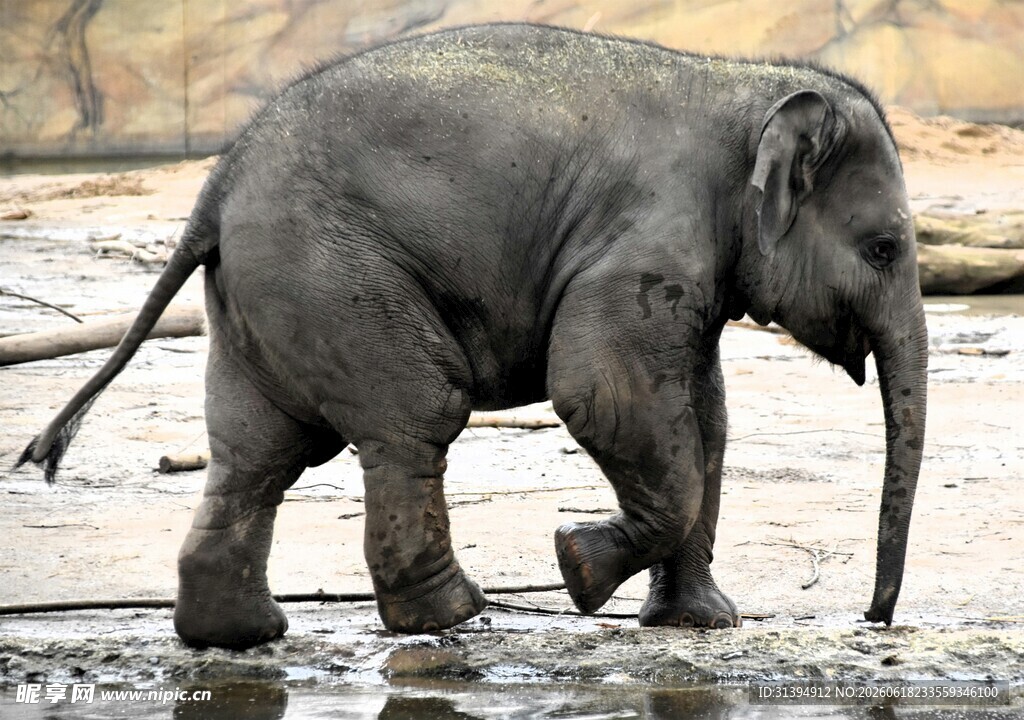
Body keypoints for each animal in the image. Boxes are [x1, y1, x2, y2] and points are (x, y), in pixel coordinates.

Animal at [18, 23, 927, 649]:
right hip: (334, 274)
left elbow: (706, 418)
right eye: (884, 249)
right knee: (414, 416)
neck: (744, 87)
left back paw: (241, 635)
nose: (874, 617)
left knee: (256, 452)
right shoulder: (644, 245)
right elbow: (600, 391)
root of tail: (215, 184)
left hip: (266, 298)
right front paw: (577, 565)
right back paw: (451, 615)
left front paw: (698, 624)